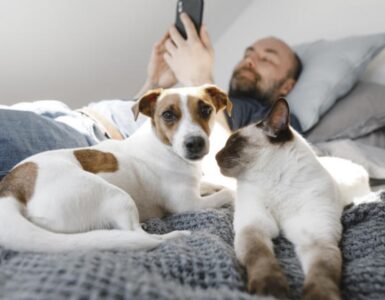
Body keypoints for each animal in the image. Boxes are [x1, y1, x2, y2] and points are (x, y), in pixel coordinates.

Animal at [0, 84, 234, 253]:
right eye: (168, 115)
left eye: (206, 110)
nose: (195, 143)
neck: (164, 146)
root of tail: (12, 187)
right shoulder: (188, 203)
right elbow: (227, 193)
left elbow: (216, 185)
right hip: (116, 196)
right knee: (140, 235)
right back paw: (173, 235)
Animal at [216, 99, 368, 300]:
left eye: (233, 142)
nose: (215, 156)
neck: (275, 182)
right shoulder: (254, 227)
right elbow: (261, 258)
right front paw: (271, 290)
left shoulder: (317, 239)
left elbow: (322, 274)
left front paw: (318, 295)